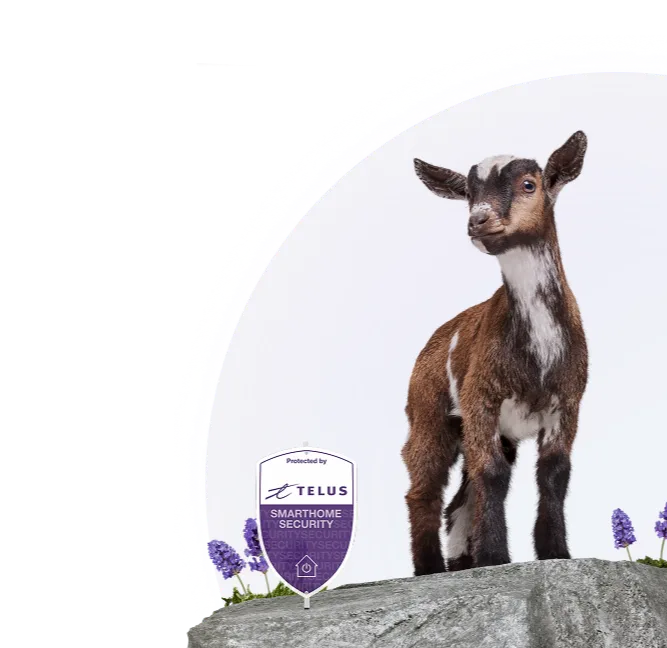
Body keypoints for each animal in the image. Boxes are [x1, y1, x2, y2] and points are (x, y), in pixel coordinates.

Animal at [402, 131, 589, 575]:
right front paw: (495, 557)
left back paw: (460, 563)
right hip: (428, 413)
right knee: (424, 487)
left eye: (529, 185)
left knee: (459, 497)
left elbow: (555, 473)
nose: (478, 220)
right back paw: (430, 567)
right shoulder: (480, 398)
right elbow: (492, 475)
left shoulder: (568, 401)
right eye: (468, 194)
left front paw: (555, 551)